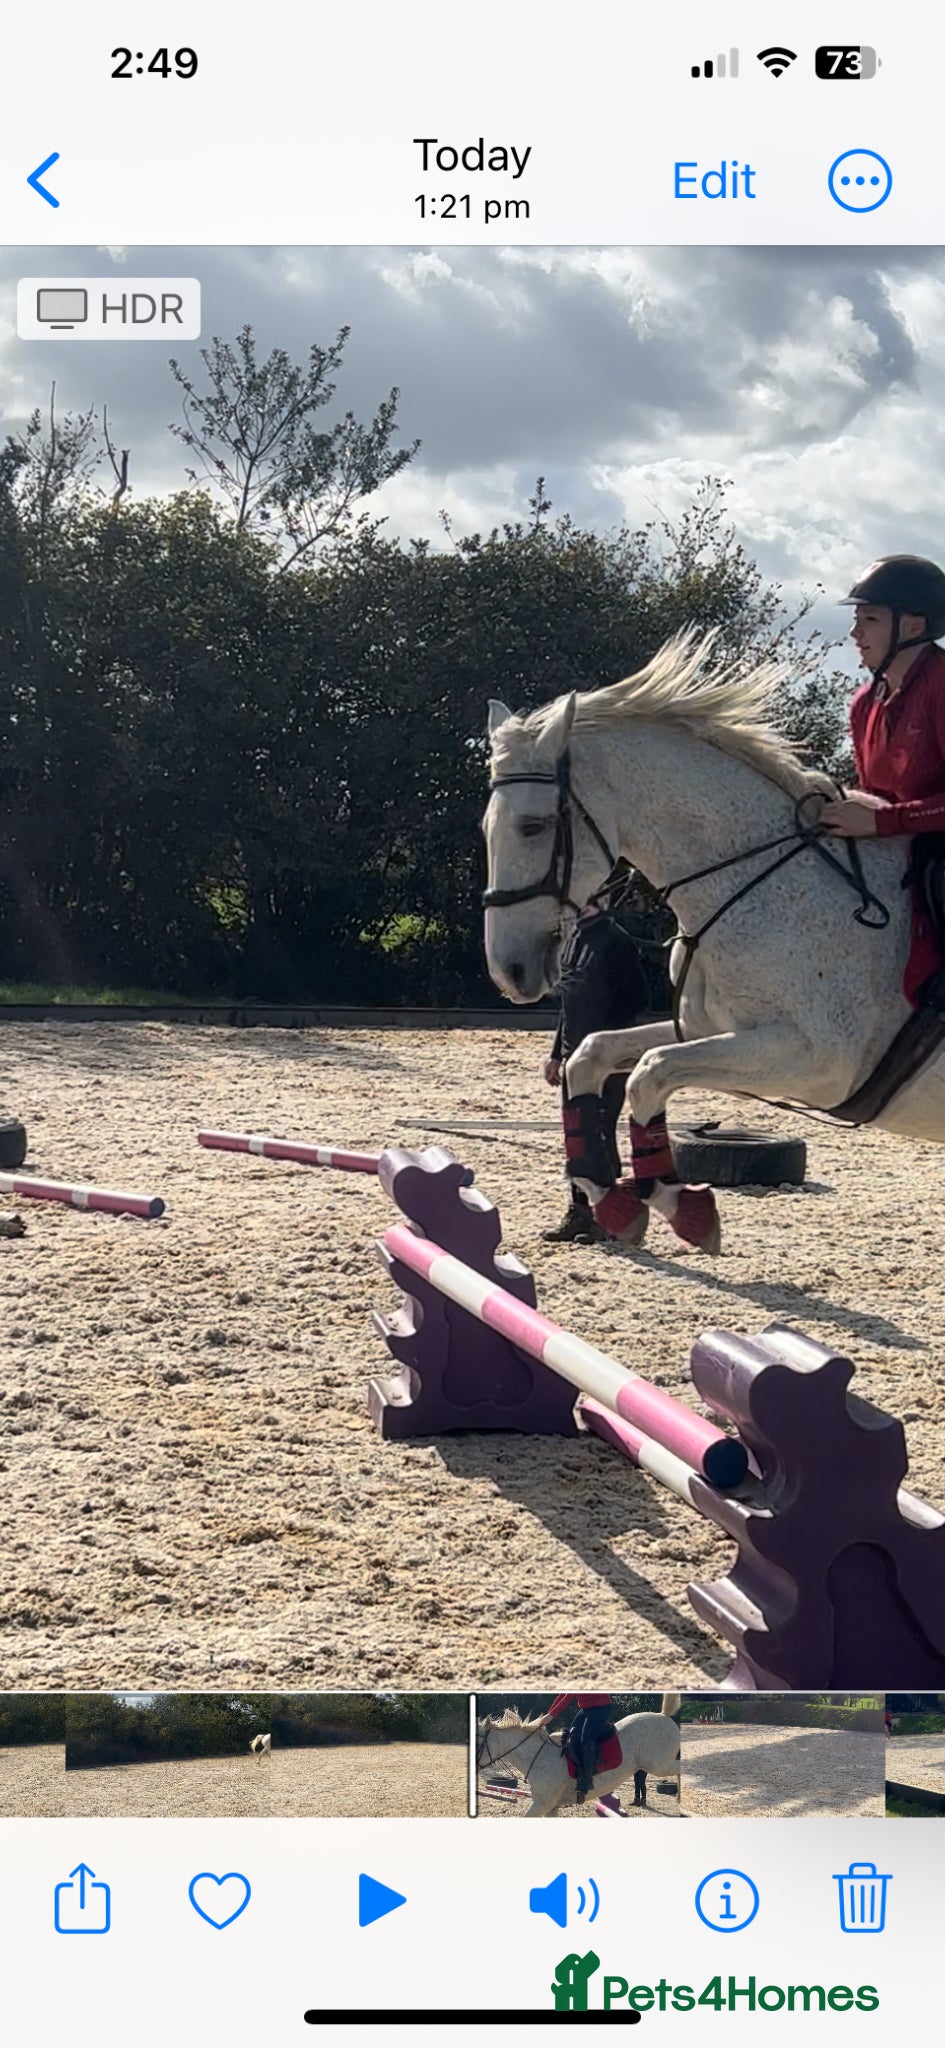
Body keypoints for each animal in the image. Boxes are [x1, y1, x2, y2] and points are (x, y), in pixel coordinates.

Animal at [477, 1694, 681, 1815]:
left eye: (478, 1742)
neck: (537, 1756)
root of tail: (663, 1715)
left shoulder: (542, 1804)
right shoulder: (551, 1806)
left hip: (659, 1765)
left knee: (678, 1769)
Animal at [482, 630, 945, 1253]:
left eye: (533, 827)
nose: (509, 972)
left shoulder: (815, 1061)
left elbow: (649, 1073)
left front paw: (682, 1204)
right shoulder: (707, 1029)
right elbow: (590, 1055)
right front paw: (611, 1197)